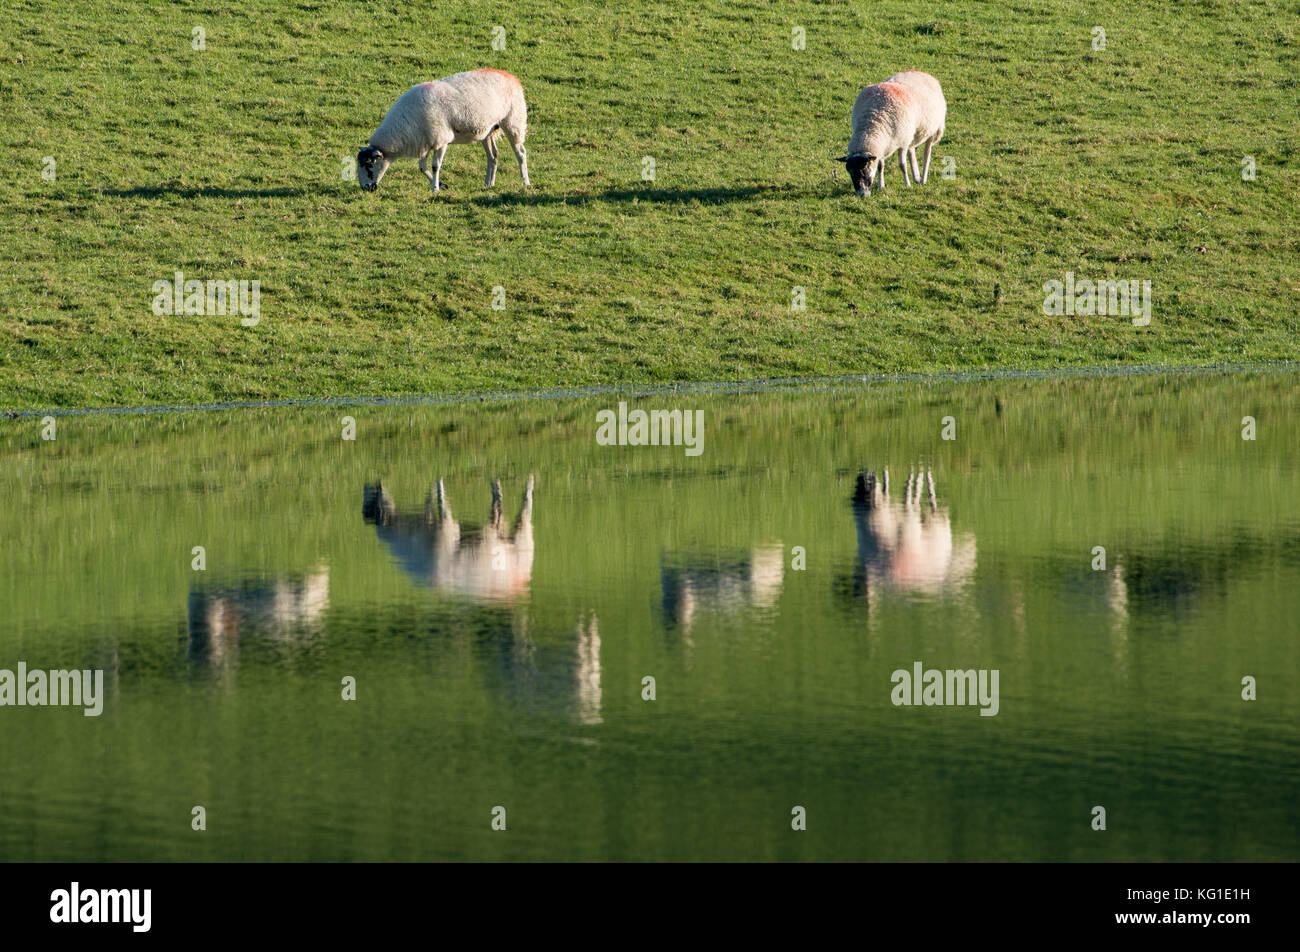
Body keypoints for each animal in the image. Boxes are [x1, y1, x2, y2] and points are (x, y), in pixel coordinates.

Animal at [356, 68, 530, 194]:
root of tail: (510, 76)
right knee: (493, 156)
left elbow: (435, 166)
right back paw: (488, 184)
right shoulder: (425, 140)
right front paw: (441, 184)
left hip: (513, 121)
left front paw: (435, 188)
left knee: (520, 153)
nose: (366, 188)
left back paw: (525, 182)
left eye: (369, 166)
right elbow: (422, 167)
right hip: (487, 130)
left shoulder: (441, 140)